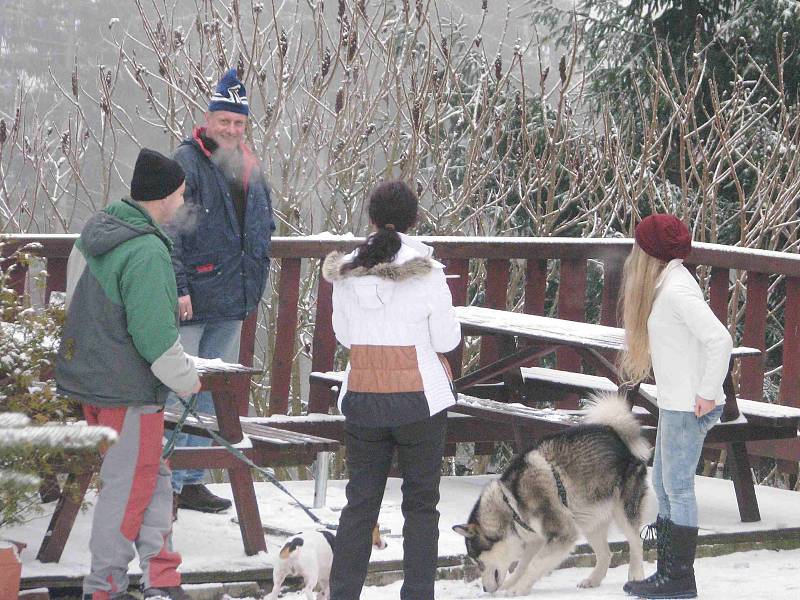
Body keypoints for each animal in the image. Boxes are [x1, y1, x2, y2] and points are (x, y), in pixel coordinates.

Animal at [454, 394, 652, 596]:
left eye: (478, 562)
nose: (485, 589)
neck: (511, 504)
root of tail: (615, 434)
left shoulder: (561, 534)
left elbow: (534, 565)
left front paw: (517, 590)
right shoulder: (535, 539)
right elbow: (522, 566)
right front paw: (512, 584)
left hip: (623, 512)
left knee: (636, 542)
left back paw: (636, 575)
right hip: (589, 520)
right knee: (606, 553)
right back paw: (593, 580)